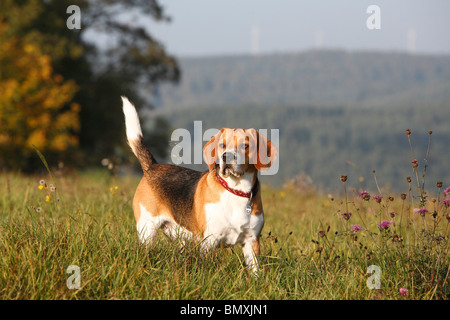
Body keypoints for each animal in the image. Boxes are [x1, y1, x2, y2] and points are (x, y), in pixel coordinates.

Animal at [123, 97, 278, 276]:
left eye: (245, 146)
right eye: (222, 145)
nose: (227, 156)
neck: (236, 190)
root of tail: (152, 166)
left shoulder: (251, 242)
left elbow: (254, 271)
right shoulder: (210, 241)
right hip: (147, 229)